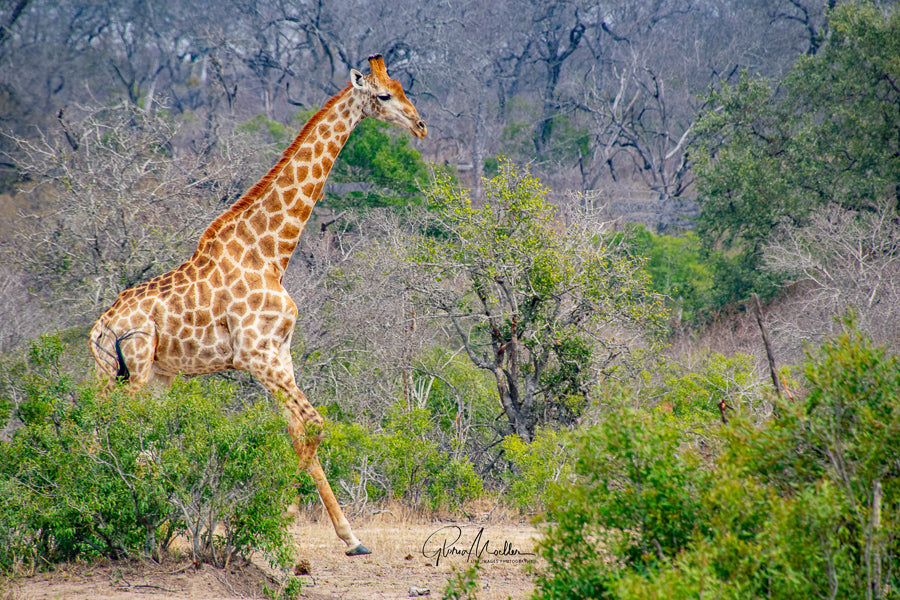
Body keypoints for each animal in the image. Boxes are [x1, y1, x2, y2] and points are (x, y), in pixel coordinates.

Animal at [89, 54, 426, 556]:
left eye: (403, 87)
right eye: (384, 95)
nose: (421, 125)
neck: (270, 253)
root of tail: (98, 330)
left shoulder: (279, 352)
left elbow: (300, 431)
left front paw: (349, 537)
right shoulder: (255, 354)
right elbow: (313, 424)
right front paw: (272, 517)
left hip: (135, 375)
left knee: (111, 435)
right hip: (136, 369)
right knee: (119, 435)